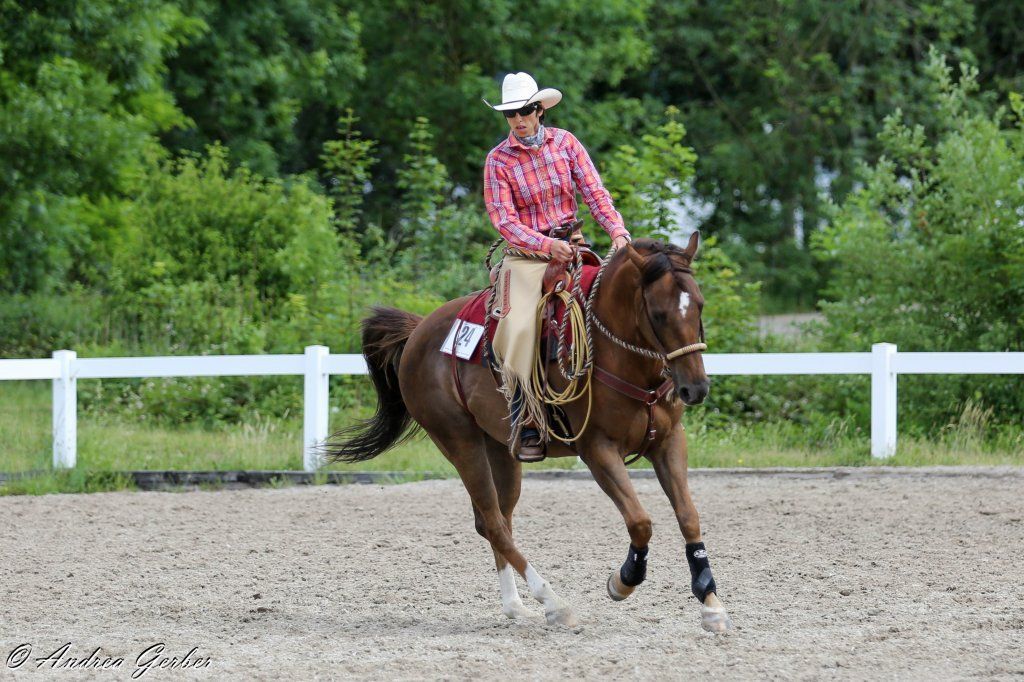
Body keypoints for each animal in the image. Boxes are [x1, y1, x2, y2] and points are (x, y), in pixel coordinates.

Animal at [324, 233, 732, 632]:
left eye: (699, 305)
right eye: (659, 313)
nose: (696, 388)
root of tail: (418, 332)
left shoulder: (668, 441)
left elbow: (688, 514)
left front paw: (710, 602)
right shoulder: (597, 450)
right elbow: (640, 521)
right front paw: (623, 581)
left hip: (501, 449)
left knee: (496, 522)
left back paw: (516, 608)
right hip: (460, 442)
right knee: (493, 522)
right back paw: (554, 603)